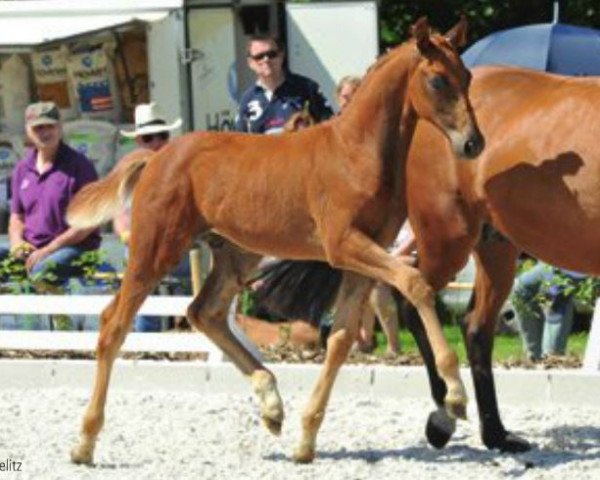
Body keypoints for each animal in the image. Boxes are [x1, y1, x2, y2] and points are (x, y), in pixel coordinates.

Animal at [64, 18, 482, 464]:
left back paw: (271, 403)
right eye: (437, 80)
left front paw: (306, 438)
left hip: (237, 255)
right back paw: (85, 441)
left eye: (467, 77)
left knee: (204, 312)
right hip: (156, 247)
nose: (473, 143)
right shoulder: (343, 244)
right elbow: (415, 284)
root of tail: (156, 158)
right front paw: (456, 396)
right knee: (114, 323)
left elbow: (340, 339)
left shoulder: (365, 254)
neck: (357, 152)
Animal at [262, 65, 600, 456]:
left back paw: (495, 434)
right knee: (417, 301)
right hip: (448, 238)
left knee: (474, 327)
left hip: (495, 246)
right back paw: (445, 415)